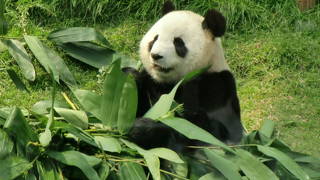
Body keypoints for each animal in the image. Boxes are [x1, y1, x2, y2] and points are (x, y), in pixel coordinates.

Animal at [125, 0, 242, 151]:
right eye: (155, 39)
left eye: (178, 43)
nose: (155, 55)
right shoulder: (152, 82)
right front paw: (130, 77)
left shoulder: (217, 86)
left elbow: (204, 132)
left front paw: (143, 129)